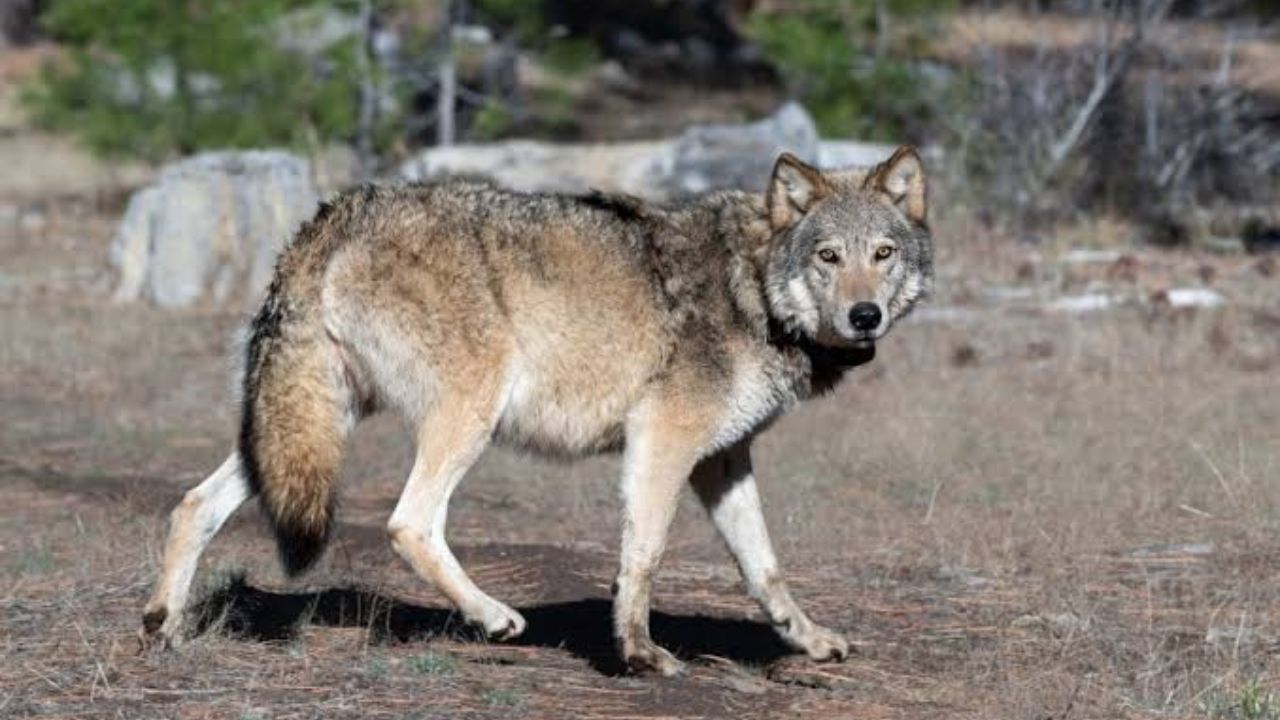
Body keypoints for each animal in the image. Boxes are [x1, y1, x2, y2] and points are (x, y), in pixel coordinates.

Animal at [140, 146, 934, 675]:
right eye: (828, 256)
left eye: (883, 253)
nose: (864, 316)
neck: (756, 291)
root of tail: (337, 212)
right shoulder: (663, 441)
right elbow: (644, 553)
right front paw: (639, 652)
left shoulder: (722, 460)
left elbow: (764, 567)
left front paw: (809, 641)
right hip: (467, 414)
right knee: (408, 523)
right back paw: (493, 619)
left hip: (306, 425)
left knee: (194, 504)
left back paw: (163, 626)